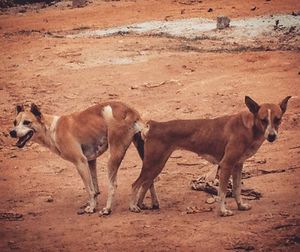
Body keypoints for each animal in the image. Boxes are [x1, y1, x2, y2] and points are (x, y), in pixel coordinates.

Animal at [9, 100, 156, 215]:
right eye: (15, 122)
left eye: (27, 122)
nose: (12, 132)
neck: (51, 128)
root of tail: (131, 111)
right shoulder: (90, 161)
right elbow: (95, 189)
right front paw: (92, 203)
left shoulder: (80, 162)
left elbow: (89, 189)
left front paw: (91, 208)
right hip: (144, 154)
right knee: (149, 179)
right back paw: (149, 204)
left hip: (114, 156)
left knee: (113, 185)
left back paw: (107, 209)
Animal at [130, 96, 292, 217]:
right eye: (263, 120)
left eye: (278, 119)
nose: (272, 136)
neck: (249, 128)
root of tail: (154, 125)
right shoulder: (226, 165)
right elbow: (222, 193)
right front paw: (223, 211)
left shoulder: (238, 165)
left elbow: (237, 189)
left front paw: (240, 205)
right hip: (154, 163)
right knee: (136, 184)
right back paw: (133, 207)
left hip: (156, 165)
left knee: (145, 183)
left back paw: (143, 204)